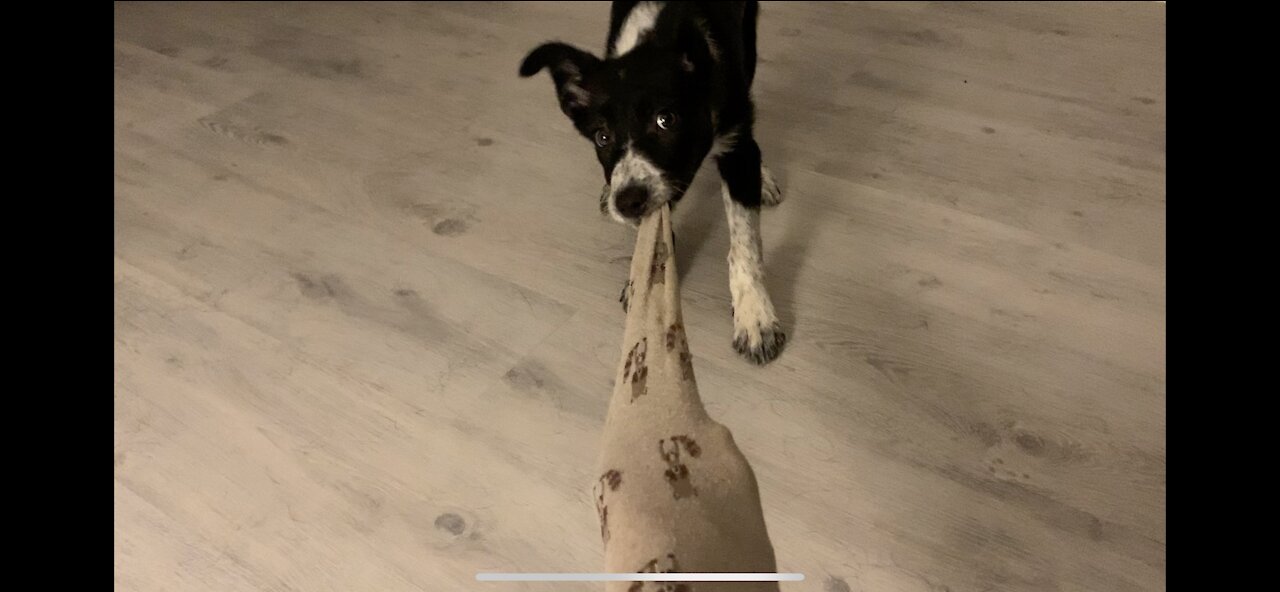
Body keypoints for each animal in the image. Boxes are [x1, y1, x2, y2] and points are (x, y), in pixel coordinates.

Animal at [522, 2, 783, 366]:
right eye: (602, 138)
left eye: (666, 120)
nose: (627, 202)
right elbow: (653, 233)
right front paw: (643, 277)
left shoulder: (736, 146)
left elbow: (745, 242)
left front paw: (755, 317)